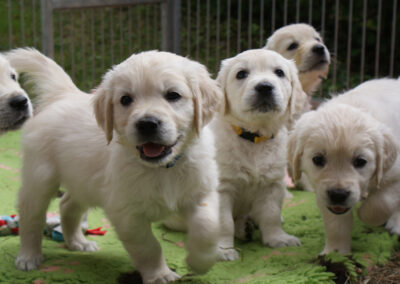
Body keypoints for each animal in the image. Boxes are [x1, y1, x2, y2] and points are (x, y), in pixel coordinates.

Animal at [7, 48, 222, 284]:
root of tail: (63, 94)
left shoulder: (202, 191)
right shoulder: (126, 212)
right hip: (40, 177)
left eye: (173, 95)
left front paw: (200, 261)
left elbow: (208, 226)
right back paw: (29, 257)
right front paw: (160, 275)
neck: (163, 168)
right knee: (31, 215)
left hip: (84, 181)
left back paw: (78, 243)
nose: (147, 124)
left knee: (67, 204)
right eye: (125, 99)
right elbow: (149, 246)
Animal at [214, 48, 308, 260]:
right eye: (241, 74)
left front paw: (278, 239)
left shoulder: (272, 184)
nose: (264, 87)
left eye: (279, 72)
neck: (254, 138)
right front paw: (223, 250)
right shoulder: (221, 188)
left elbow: (271, 215)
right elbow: (224, 222)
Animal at [290, 78, 400, 255]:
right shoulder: (324, 194)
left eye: (360, 161)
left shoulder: (395, 174)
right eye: (318, 159)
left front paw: (364, 214)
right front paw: (335, 253)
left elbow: (381, 203)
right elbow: (336, 225)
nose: (338, 194)